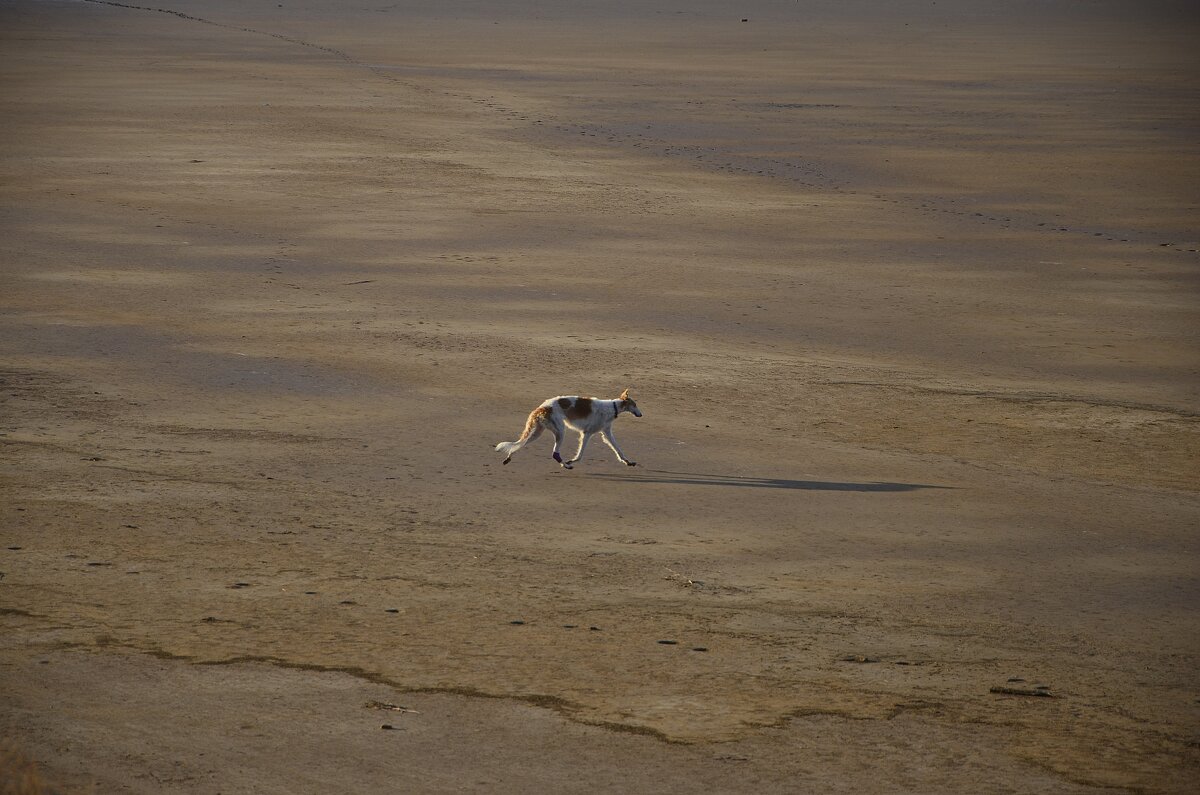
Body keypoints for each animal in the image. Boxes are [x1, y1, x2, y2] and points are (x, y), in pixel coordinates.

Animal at [492, 391, 643, 470]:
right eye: (635, 405)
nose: (641, 414)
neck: (612, 407)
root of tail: (542, 407)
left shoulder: (606, 432)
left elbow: (618, 449)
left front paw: (628, 462)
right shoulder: (587, 433)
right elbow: (580, 455)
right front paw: (572, 461)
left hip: (537, 432)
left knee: (519, 444)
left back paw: (509, 457)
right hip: (559, 431)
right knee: (555, 453)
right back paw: (565, 465)